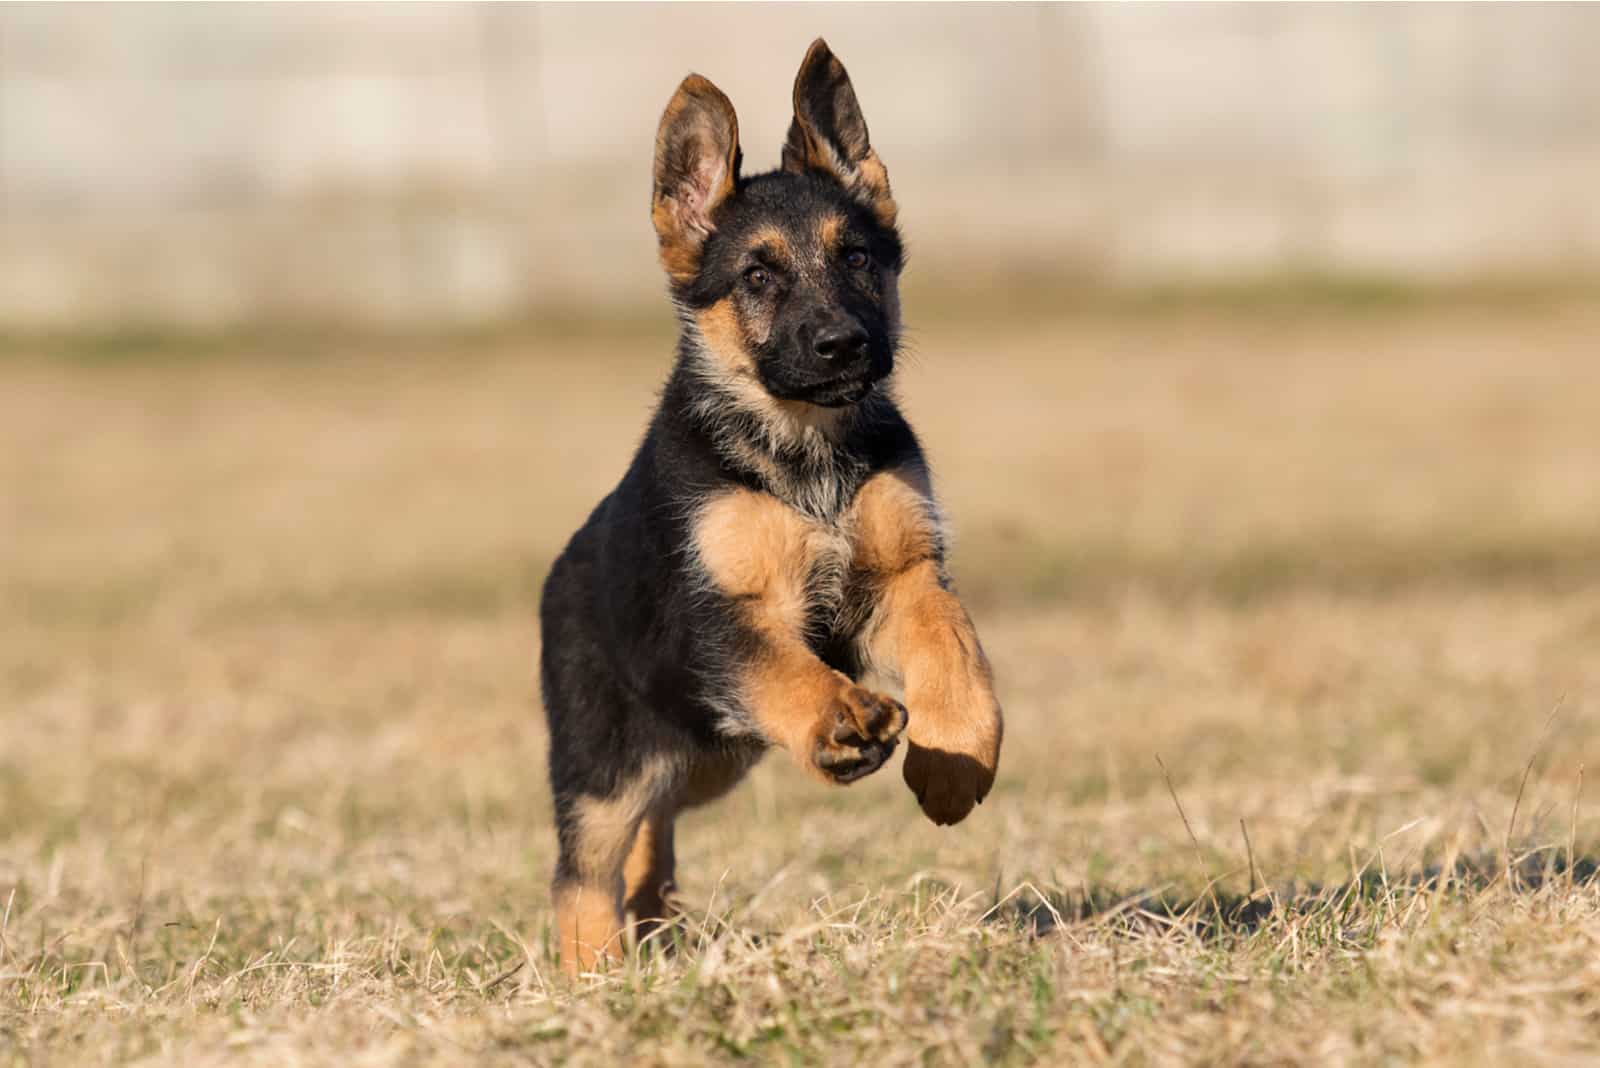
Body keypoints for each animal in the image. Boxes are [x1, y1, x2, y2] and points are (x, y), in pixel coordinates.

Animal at [544, 41, 1004, 972]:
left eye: (857, 258)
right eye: (758, 275)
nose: (844, 346)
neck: (802, 446)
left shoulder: (901, 578)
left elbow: (955, 647)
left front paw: (954, 762)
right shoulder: (722, 614)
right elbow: (782, 668)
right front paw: (838, 720)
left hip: (709, 755)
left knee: (654, 827)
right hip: (609, 763)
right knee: (581, 872)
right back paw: (595, 975)